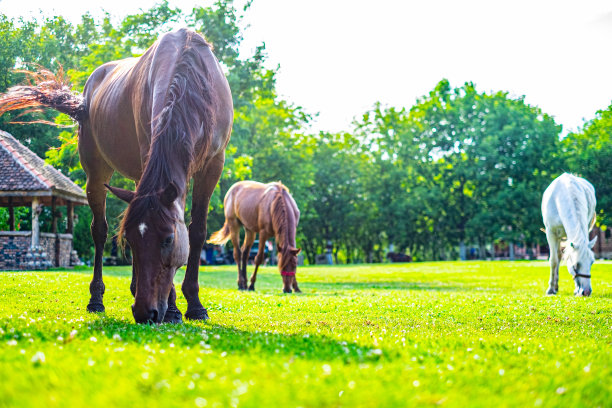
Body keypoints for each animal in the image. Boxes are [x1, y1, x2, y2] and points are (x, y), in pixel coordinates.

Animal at [0, 27, 234, 322]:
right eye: (129, 241)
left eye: (168, 239)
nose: (145, 312)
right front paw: (173, 309)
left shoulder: (213, 164)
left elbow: (198, 230)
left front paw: (194, 304)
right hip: (96, 171)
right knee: (99, 231)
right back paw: (97, 299)